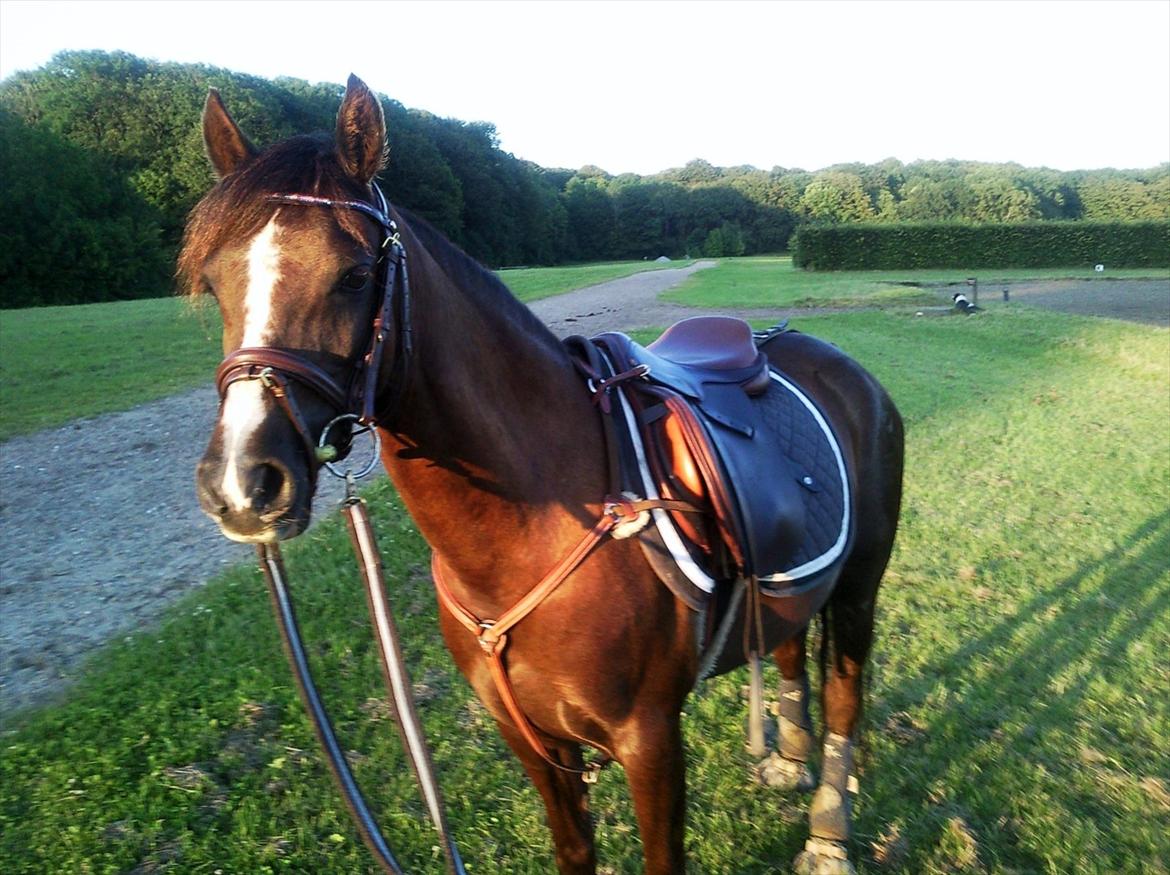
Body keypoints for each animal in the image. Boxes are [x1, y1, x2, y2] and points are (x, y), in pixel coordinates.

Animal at [185, 75, 904, 874]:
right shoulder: (531, 740)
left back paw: (828, 831)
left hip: (860, 585)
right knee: (786, 640)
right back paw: (791, 757)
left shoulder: (650, 739)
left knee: (846, 691)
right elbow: (572, 850)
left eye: (356, 274)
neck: (532, 527)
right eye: (213, 283)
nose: (243, 484)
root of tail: (829, 359)